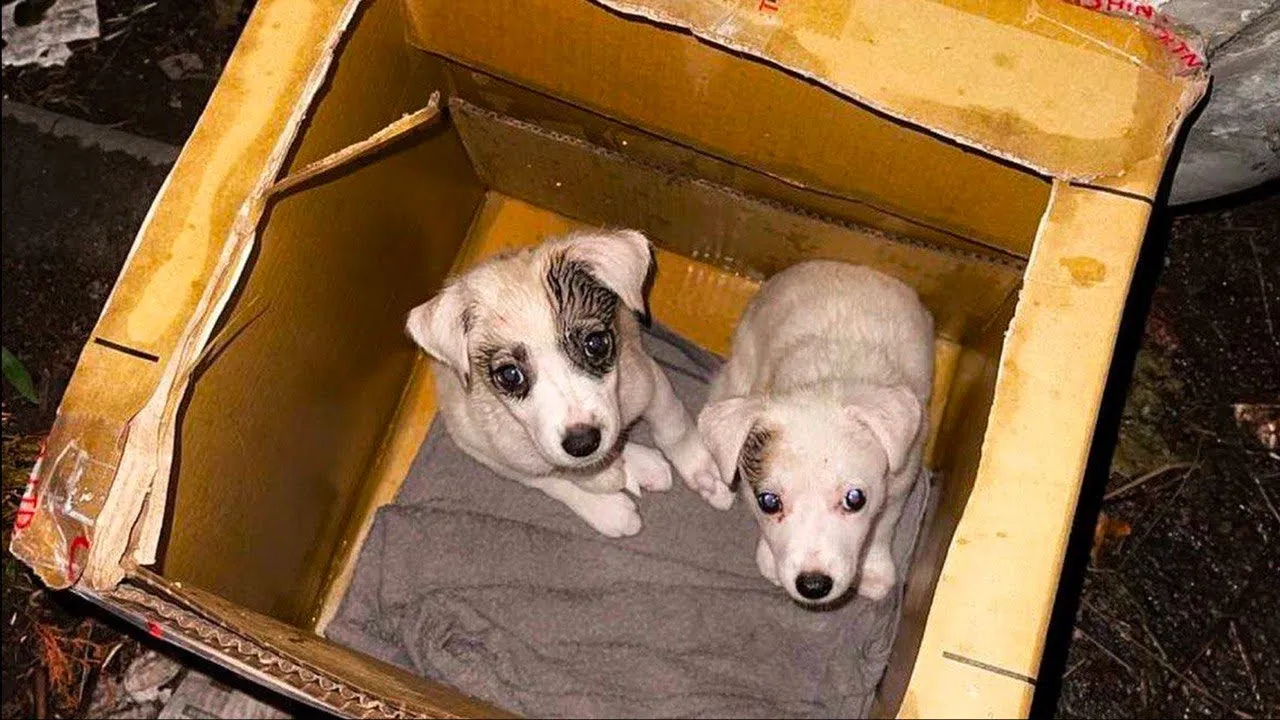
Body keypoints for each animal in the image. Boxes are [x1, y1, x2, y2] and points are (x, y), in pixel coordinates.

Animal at [407, 226, 732, 535]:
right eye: (510, 375)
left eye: (596, 344)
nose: (582, 443)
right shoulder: (493, 453)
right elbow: (553, 480)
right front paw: (607, 508)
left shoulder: (649, 381)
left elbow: (674, 426)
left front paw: (704, 472)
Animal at [701, 260, 931, 602]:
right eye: (768, 502)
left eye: (855, 499)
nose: (813, 586)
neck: (824, 379)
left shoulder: (900, 482)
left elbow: (883, 526)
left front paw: (874, 570)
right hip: (739, 367)